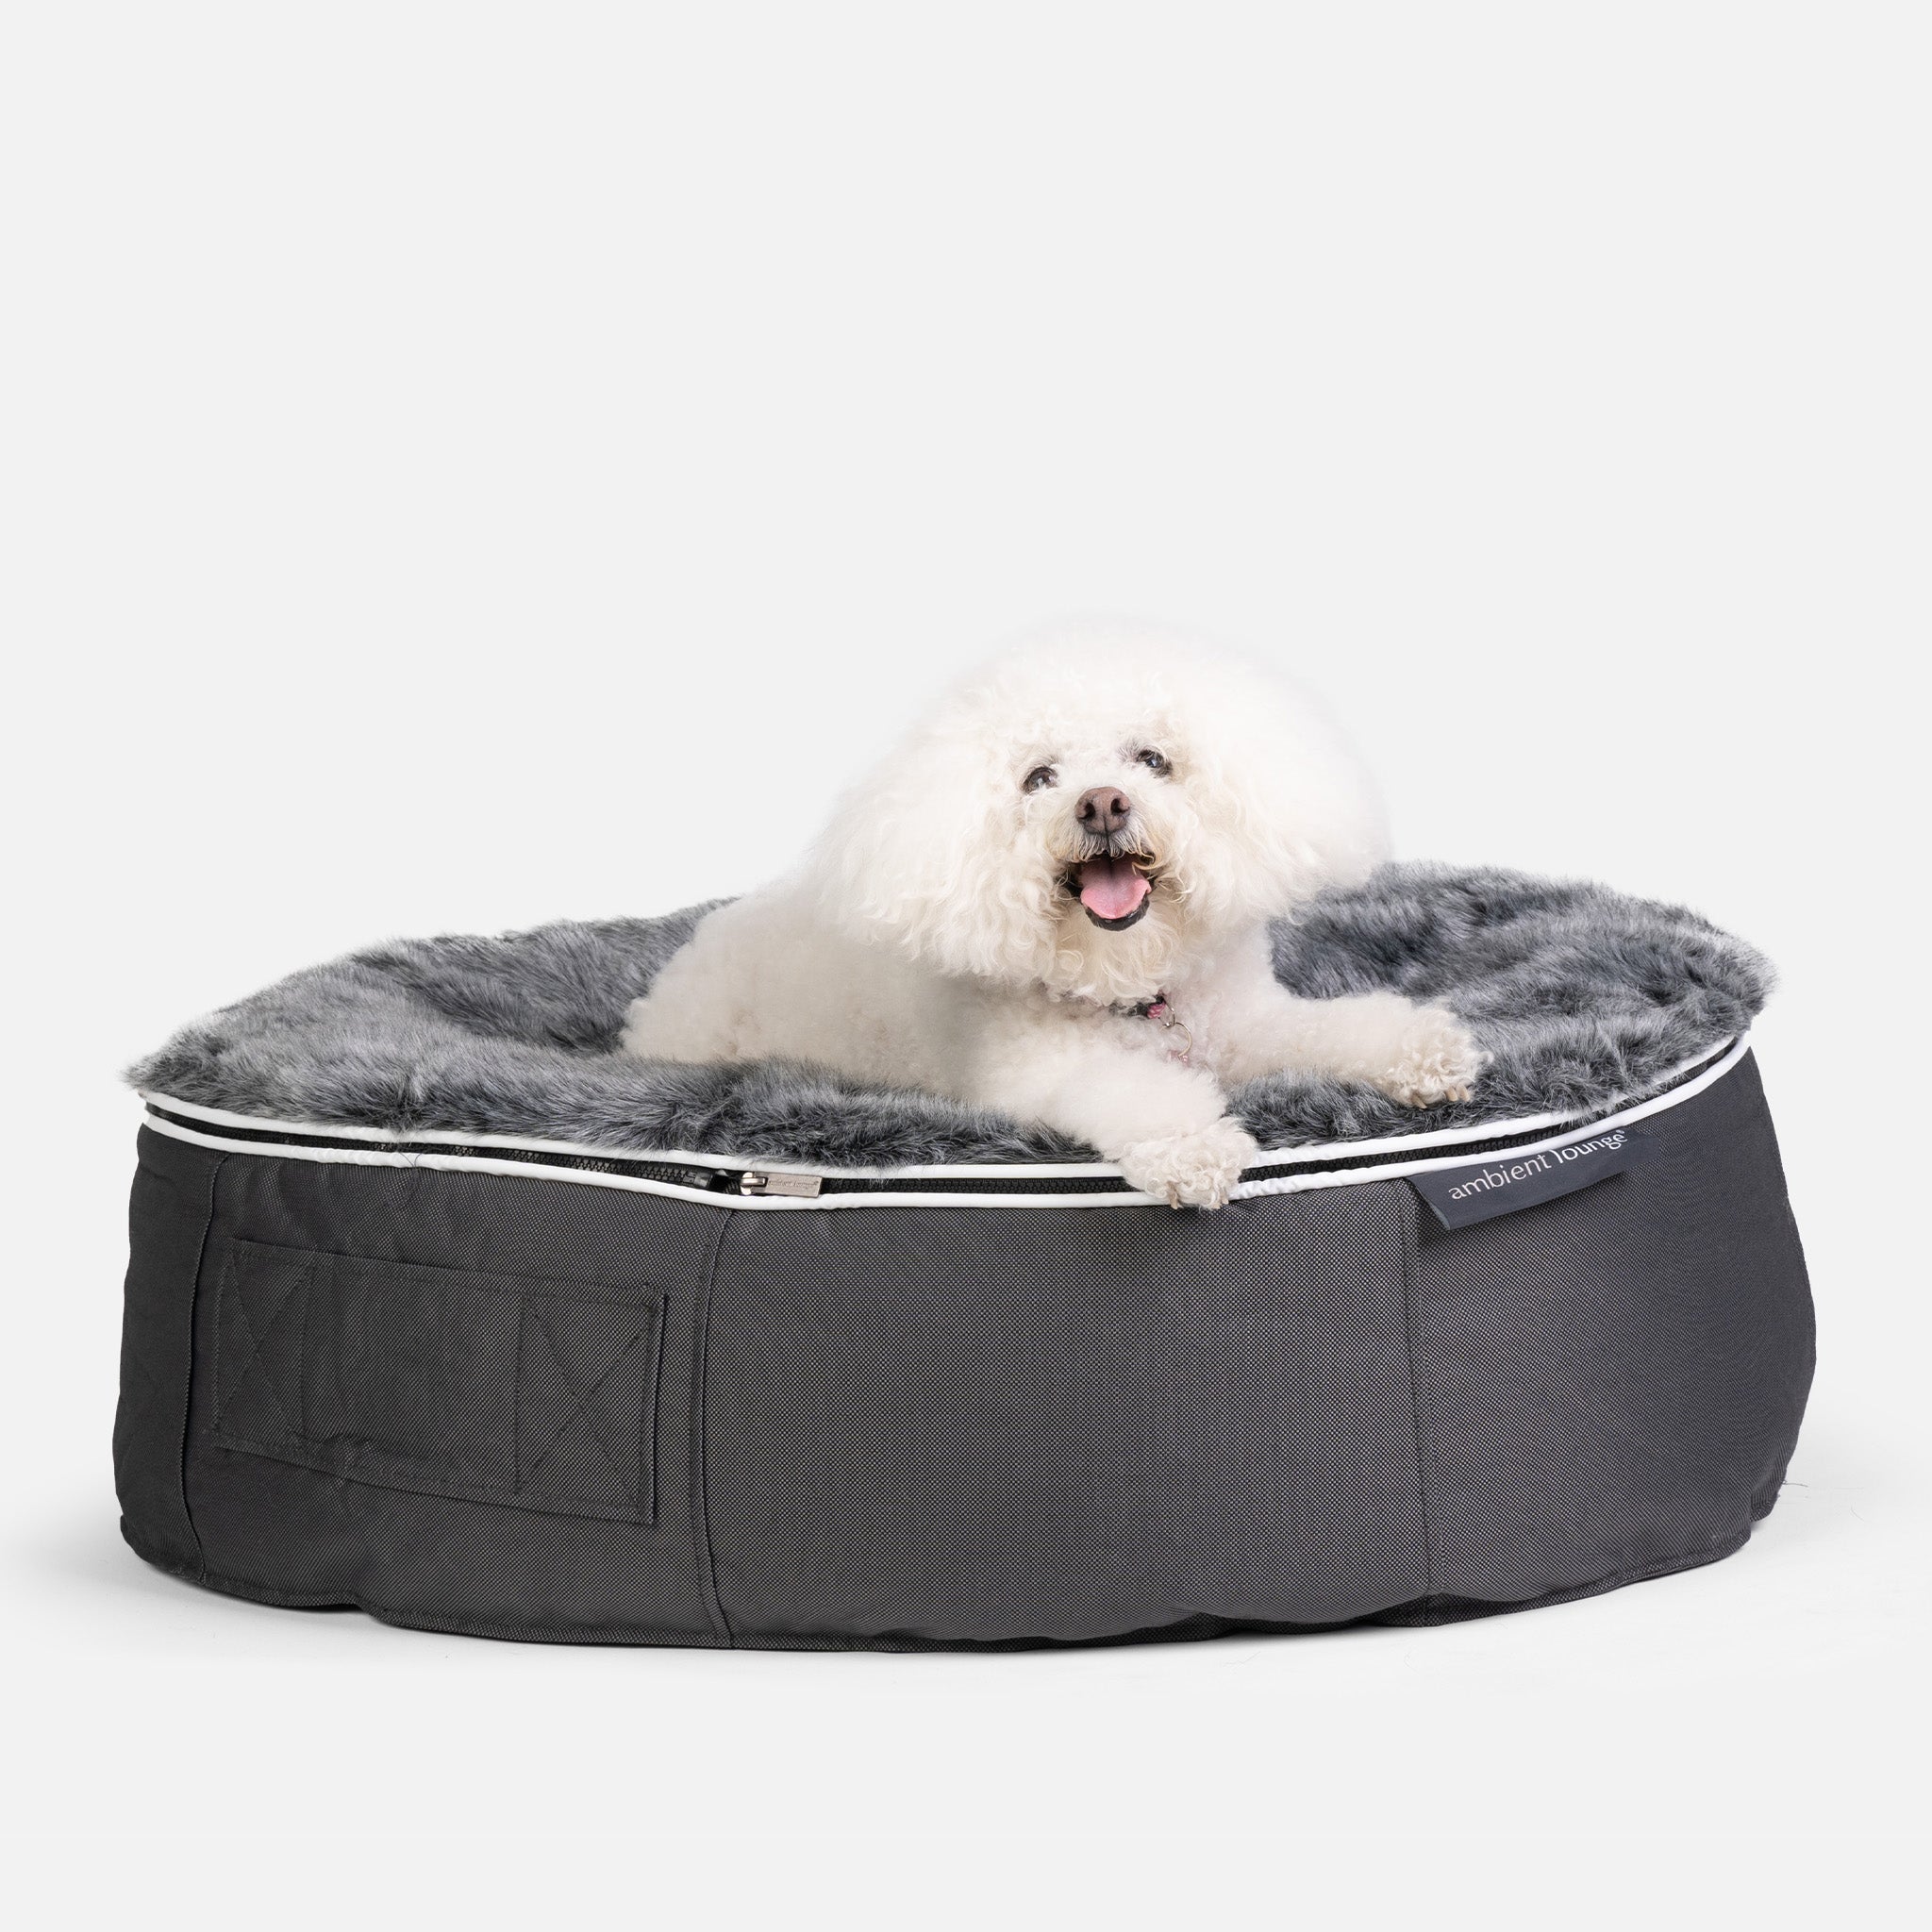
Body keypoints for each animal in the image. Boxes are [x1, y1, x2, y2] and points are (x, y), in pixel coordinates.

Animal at [621, 625, 1483, 1206]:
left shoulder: (1249, 1024)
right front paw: (1194, 1146)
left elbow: (1336, 1027)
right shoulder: (1038, 1074)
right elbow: (1134, 1093)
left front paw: (1426, 1052)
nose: (1101, 804)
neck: (1134, 989)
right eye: (1039, 776)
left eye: (1152, 759)